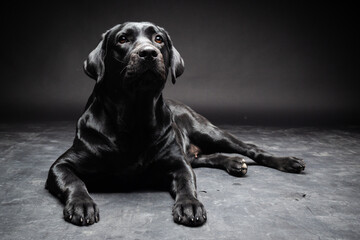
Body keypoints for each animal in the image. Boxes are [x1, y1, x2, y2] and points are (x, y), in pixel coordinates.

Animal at [44, 21, 304, 226]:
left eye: (158, 39)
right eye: (123, 39)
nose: (149, 53)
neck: (134, 115)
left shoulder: (178, 163)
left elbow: (187, 182)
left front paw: (190, 204)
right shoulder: (60, 165)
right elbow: (74, 181)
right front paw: (82, 204)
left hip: (208, 131)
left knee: (250, 147)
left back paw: (286, 162)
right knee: (206, 157)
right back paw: (233, 163)